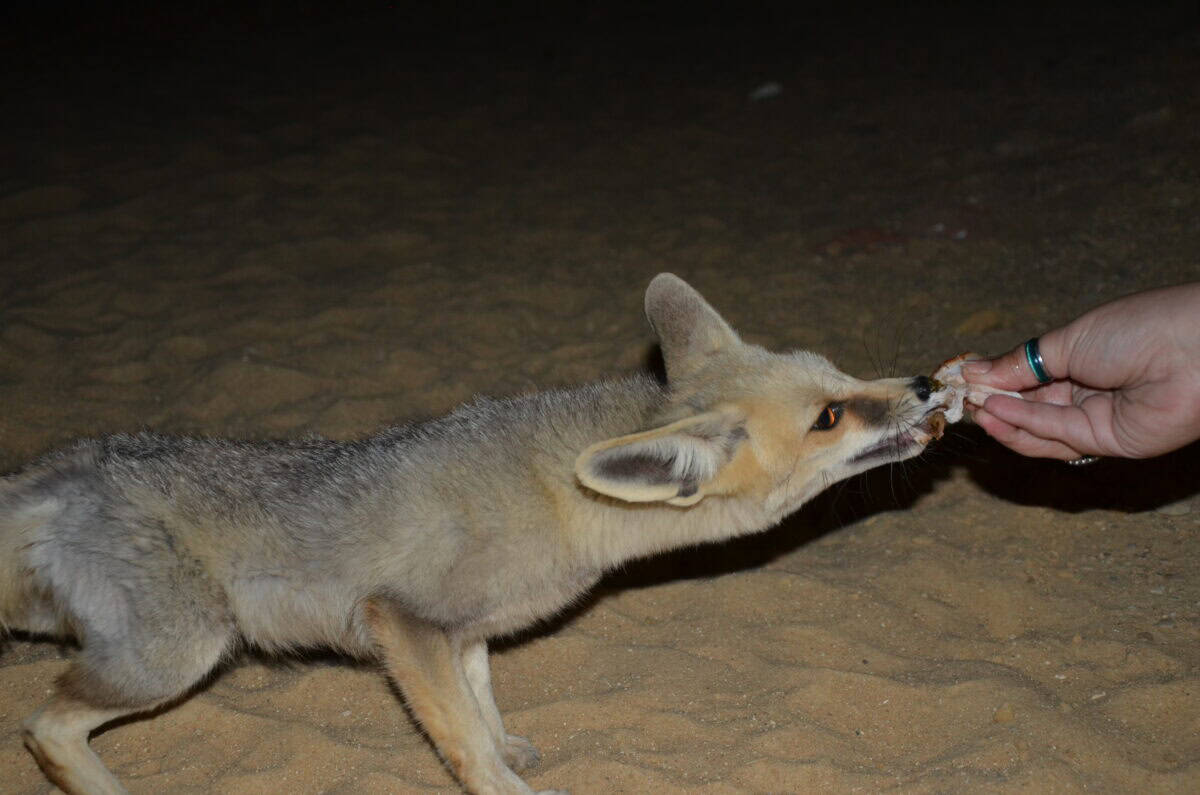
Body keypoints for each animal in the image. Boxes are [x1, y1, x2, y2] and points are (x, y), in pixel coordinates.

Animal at [1, 273, 947, 794]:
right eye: (829, 416)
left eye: (840, 374)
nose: (930, 384)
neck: (554, 489)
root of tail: (63, 468)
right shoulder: (404, 621)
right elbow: (460, 737)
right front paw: (508, 785)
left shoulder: (463, 631)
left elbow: (481, 702)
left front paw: (508, 744)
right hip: (181, 652)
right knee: (46, 727)